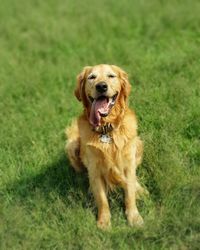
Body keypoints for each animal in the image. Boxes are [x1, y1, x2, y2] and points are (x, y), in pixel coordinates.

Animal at [65, 64, 145, 229]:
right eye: (92, 77)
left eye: (111, 76)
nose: (101, 86)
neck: (106, 129)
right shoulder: (95, 170)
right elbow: (102, 200)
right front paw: (104, 222)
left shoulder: (128, 163)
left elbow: (129, 192)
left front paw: (133, 217)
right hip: (71, 146)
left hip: (137, 144)